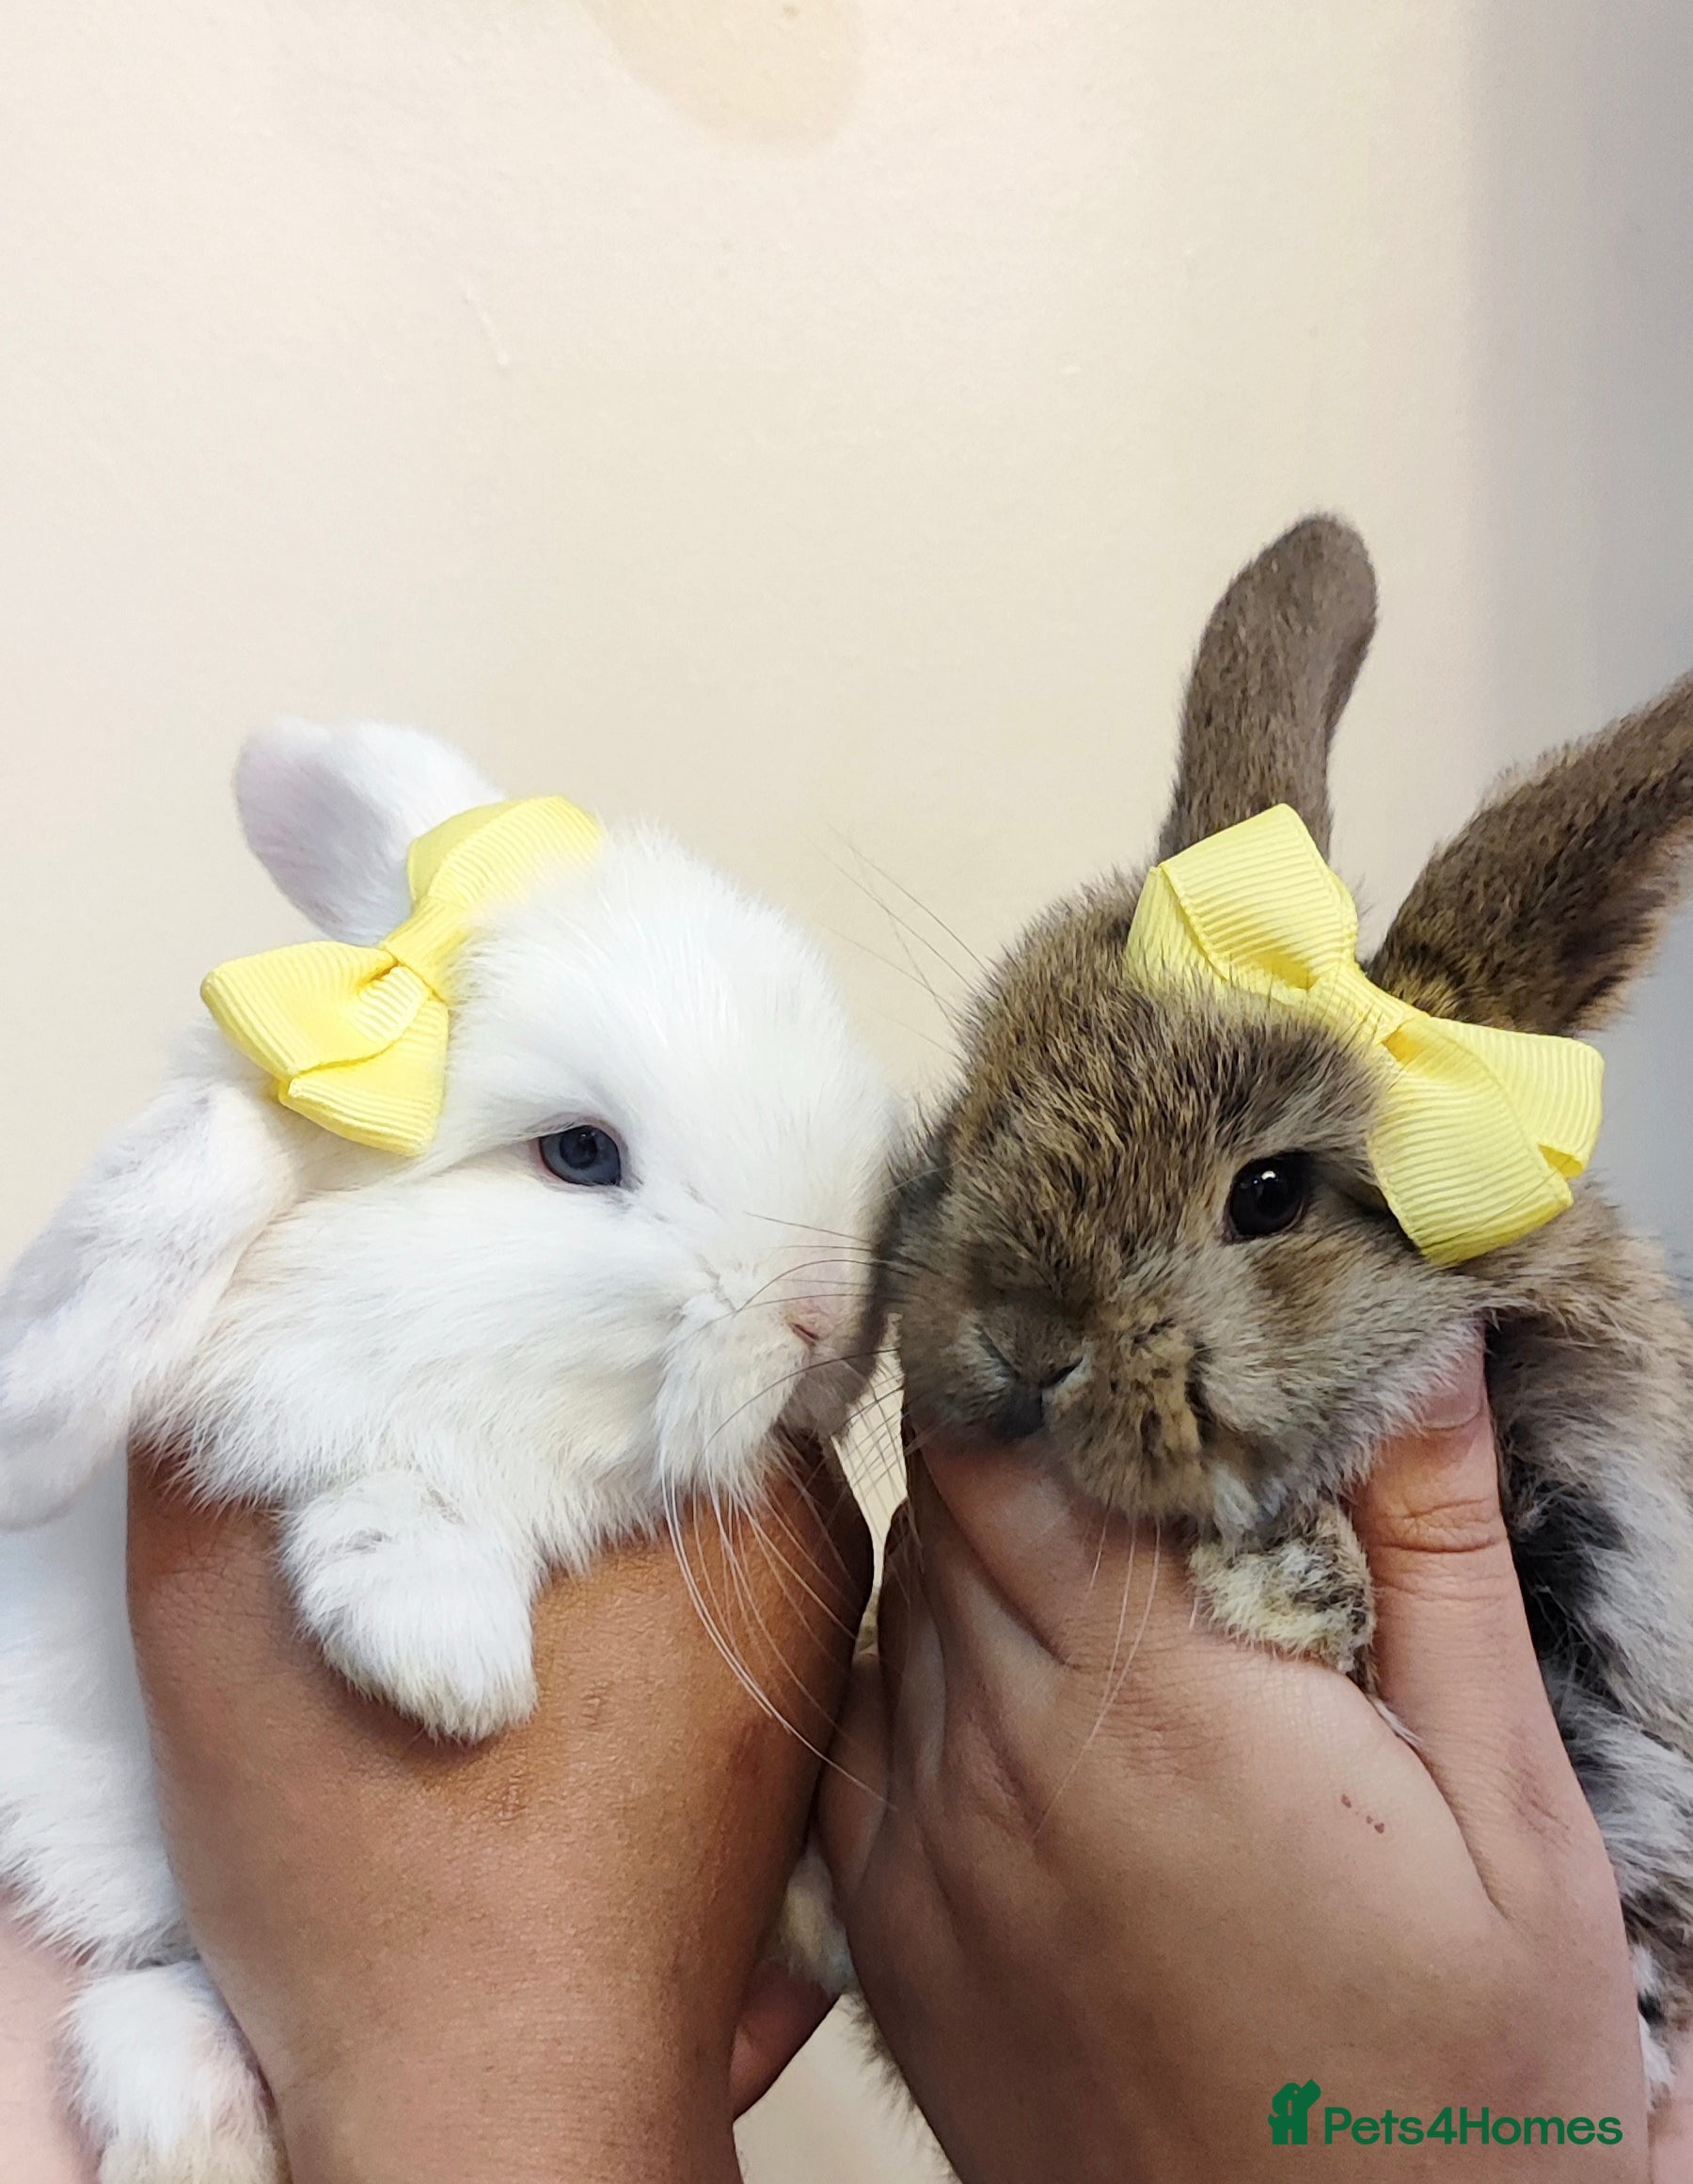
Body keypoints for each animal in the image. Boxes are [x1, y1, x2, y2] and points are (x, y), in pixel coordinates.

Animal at [0, 718, 892, 2182]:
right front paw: (446, 1667)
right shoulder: (307, 1413)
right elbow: (391, 1492)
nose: (826, 1310)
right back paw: (199, 2125)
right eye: (579, 1154)